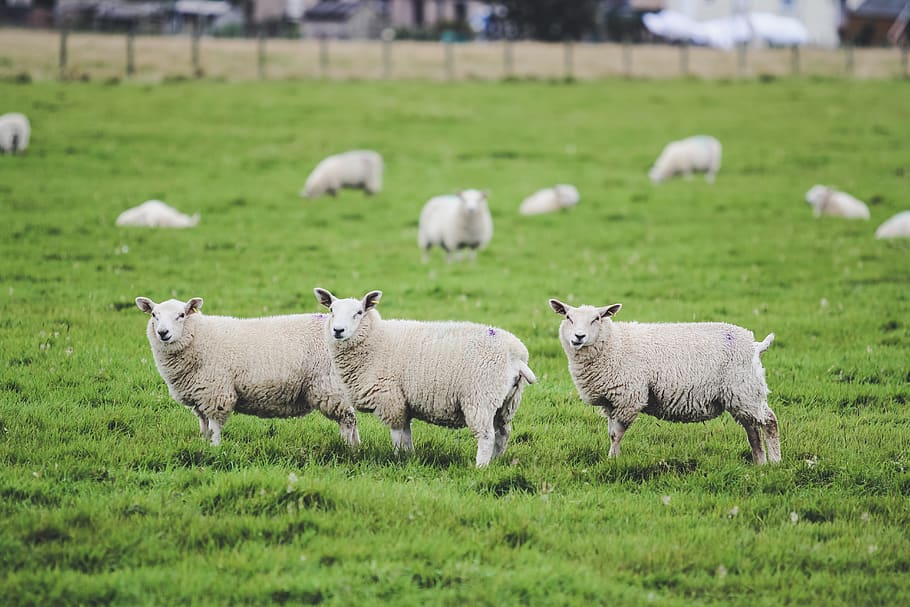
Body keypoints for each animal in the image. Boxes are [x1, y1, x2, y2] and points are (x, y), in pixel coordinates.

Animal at [135, 296, 360, 448]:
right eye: (154, 315)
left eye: (181, 315)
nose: (163, 333)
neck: (199, 336)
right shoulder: (200, 396)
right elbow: (204, 425)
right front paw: (204, 444)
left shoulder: (216, 393)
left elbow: (215, 426)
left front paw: (215, 449)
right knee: (351, 419)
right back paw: (356, 446)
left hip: (331, 387)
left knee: (348, 420)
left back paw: (347, 447)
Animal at [316, 290, 536, 470]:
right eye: (331, 310)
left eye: (359, 312)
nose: (338, 330)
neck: (374, 341)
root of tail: (516, 356)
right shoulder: (403, 402)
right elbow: (406, 433)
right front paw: (409, 457)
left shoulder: (390, 399)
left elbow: (397, 434)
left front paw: (397, 458)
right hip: (508, 402)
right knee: (503, 433)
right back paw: (496, 461)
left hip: (480, 398)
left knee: (487, 436)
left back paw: (481, 467)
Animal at [548, 300, 784, 466]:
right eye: (568, 317)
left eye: (597, 318)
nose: (578, 337)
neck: (614, 344)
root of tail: (755, 345)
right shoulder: (611, 401)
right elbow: (611, 433)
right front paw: (612, 458)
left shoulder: (629, 397)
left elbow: (616, 434)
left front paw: (612, 460)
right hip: (741, 396)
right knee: (753, 429)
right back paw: (760, 463)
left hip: (745, 389)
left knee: (769, 422)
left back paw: (774, 462)